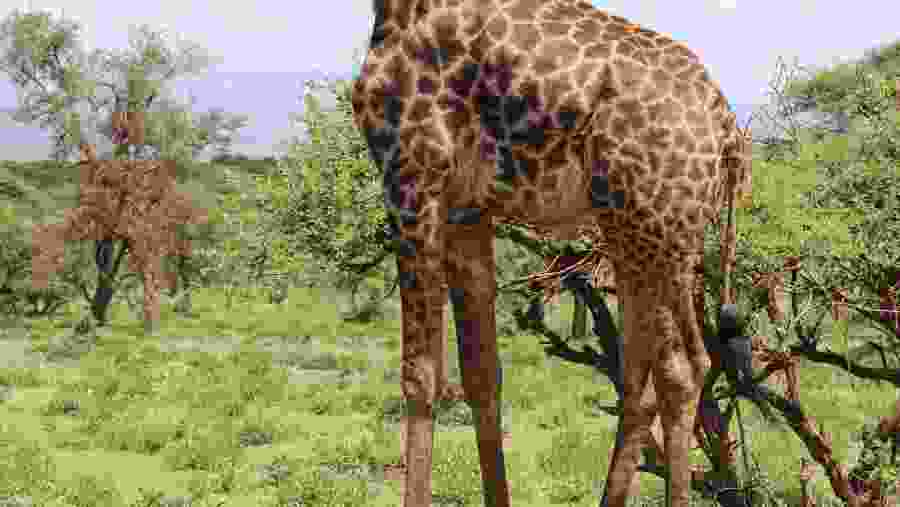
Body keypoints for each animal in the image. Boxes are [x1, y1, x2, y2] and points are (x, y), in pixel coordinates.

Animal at [352, 1, 752, 506]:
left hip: (656, 233)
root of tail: (727, 132)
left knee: (680, 368)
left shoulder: (411, 176)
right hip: (640, 236)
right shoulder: (467, 210)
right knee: (641, 371)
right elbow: (482, 371)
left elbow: (419, 375)